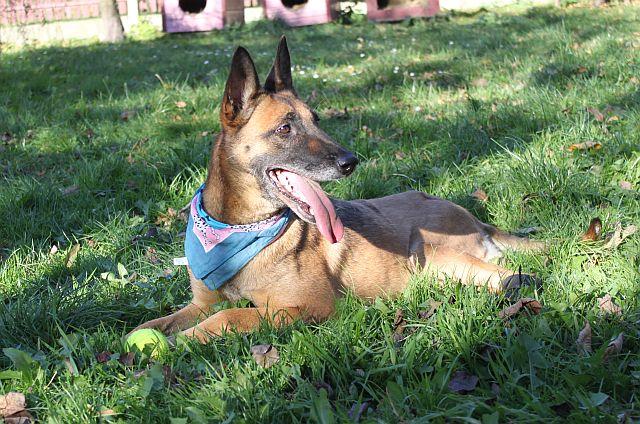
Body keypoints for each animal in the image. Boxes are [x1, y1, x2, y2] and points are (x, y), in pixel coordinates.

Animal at [132, 36, 544, 343]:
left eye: (316, 120)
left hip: (435, 258)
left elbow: (230, 315)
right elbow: (154, 323)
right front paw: (141, 340)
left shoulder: (307, 307)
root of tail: (475, 220)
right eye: (285, 128)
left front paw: (180, 342)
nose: (350, 161)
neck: (236, 228)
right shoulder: (199, 303)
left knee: (515, 276)